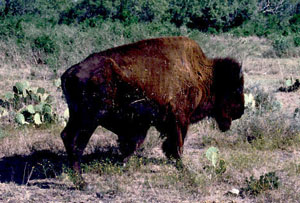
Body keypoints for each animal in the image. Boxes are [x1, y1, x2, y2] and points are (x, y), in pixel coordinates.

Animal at [60, 36, 244, 187]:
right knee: (76, 142)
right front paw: (184, 170)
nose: (240, 111)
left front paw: (123, 164)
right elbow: (176, 147)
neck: (200, 75)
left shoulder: (145, 126)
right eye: (236, 89)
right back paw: (81, 182)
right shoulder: (179, 120)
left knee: (66, 136)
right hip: (89, 119)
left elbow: (135, 145)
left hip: (78, 116)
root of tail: (70, 73)